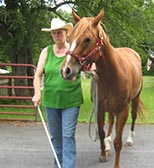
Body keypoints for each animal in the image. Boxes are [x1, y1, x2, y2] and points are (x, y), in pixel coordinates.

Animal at [60, 9, 146, 168]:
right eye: (70, 37)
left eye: (87, 39)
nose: (66, 70)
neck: (112, 75)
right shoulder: (99, 108)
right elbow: (100, 132)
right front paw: (103, 153)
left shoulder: (123, 110)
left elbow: (118, 142)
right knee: (111, 121)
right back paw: (107, 143)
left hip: (135, 99)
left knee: (134, 117)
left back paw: (130, 139)